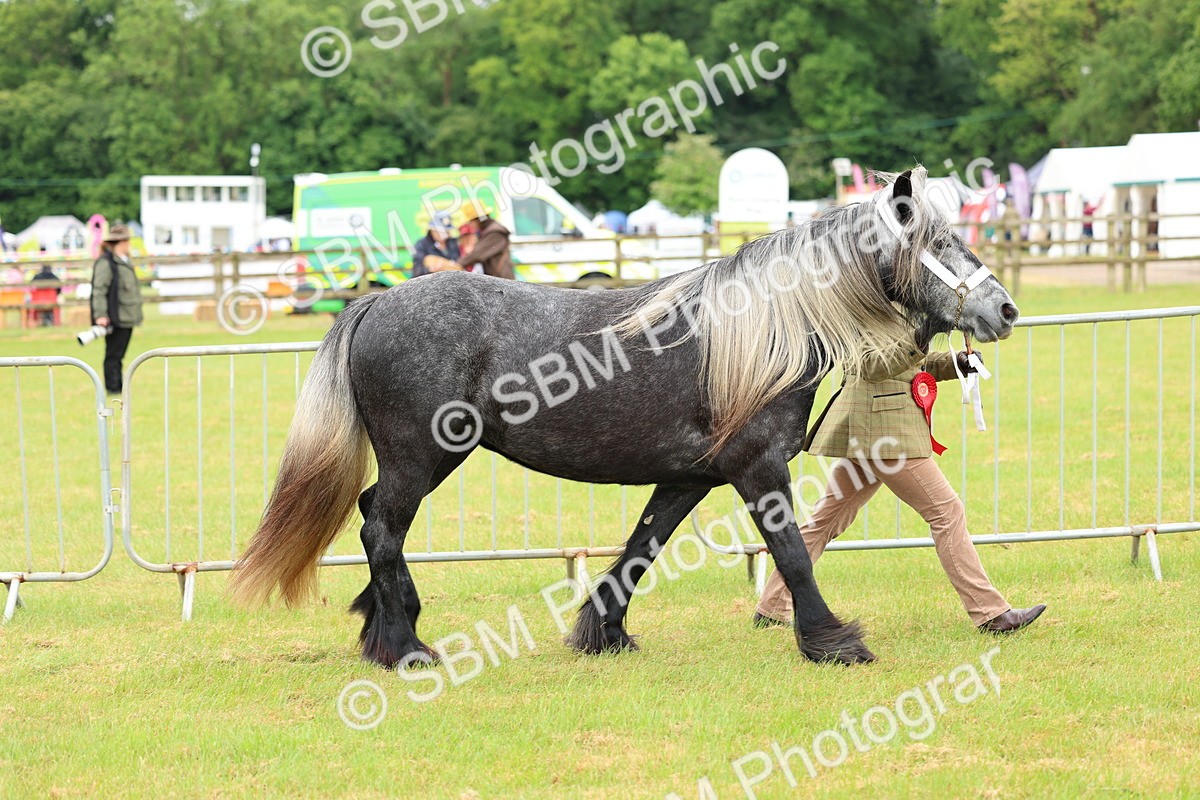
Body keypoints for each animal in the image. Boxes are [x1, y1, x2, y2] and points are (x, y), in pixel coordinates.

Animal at [229, 168, 1019, 668]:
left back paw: (383, 629)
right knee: (381, 529)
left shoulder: (691, 476)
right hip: (422, 457)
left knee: (373, 520)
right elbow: (792, 553)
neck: (761, 330)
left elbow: (643, 546)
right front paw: (832, 642)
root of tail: (374, 301)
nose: (1005, 310)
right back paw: (405, 648)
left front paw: (602, 631)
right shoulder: (756, 469)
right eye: (940, 244)